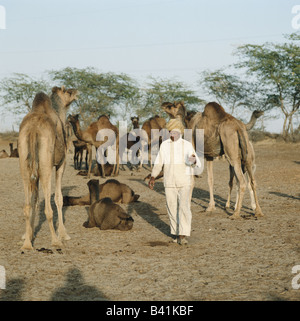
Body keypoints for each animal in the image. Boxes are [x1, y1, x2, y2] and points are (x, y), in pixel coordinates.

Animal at [18, 85, 78, 250]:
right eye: (68, 92)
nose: (76, 92)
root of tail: (33, 129)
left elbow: (34, 200)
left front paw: (29, 234)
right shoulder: (61, 164)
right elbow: (59, 198)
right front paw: (64, 234)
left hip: (25, 164)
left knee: (27, 205)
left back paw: (27, 245)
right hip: (45, 165)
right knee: (48, 208)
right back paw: (56, 241)